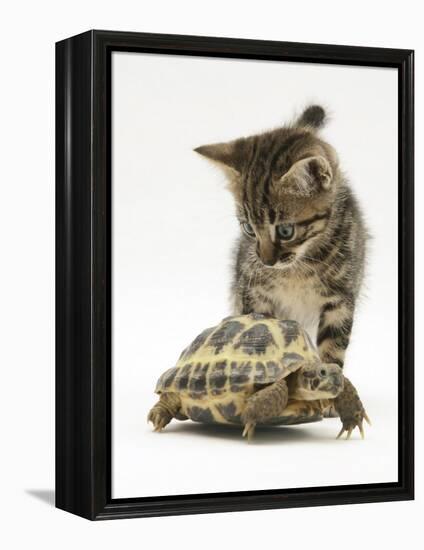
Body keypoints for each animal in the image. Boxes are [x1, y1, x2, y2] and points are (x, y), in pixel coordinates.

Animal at [195, 105, 368, 370]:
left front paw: (330, 376)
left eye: (285, 231)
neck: (297, 269)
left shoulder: (341, 299)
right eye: (248, 228)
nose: (266, 262)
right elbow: (258, 330)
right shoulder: (253, 292)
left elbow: (333, 347)